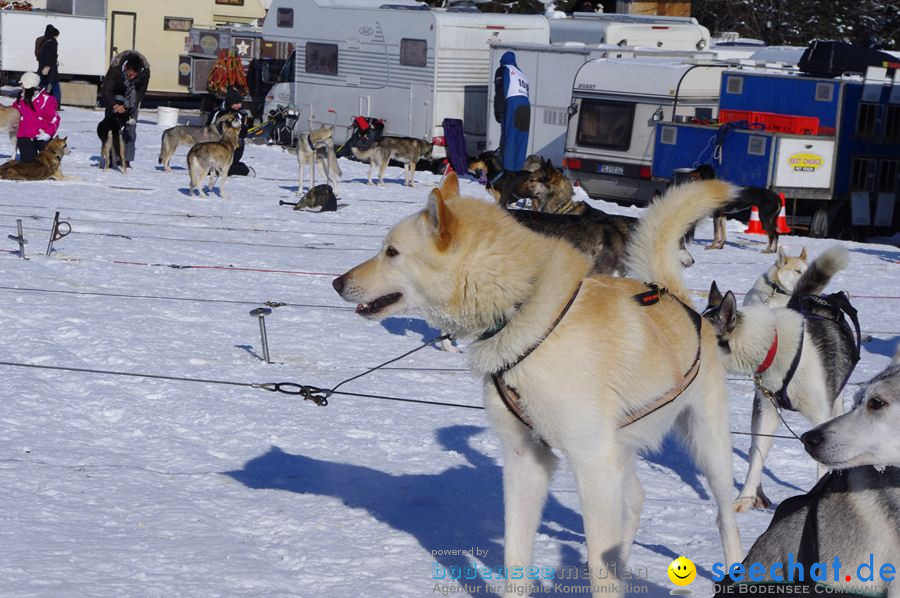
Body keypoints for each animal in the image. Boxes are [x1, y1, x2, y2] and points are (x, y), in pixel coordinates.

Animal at [334, 172, 740, 596]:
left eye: (391, 251)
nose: (337, 282)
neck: (524, 311)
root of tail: (676, 297)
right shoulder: (526, 459)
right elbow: (516, 556)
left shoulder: (593, 464)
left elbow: (599, 567)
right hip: (620, 450)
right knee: (635, 502)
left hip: (707, 446)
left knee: (724, 516)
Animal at [700, 246, 856, 512]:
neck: (771, 346)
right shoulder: (768, 412)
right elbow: (756, 458)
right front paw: (744, 499)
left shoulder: (820, 416)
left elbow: (822, 462)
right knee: (753, 448)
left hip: (835, 401)